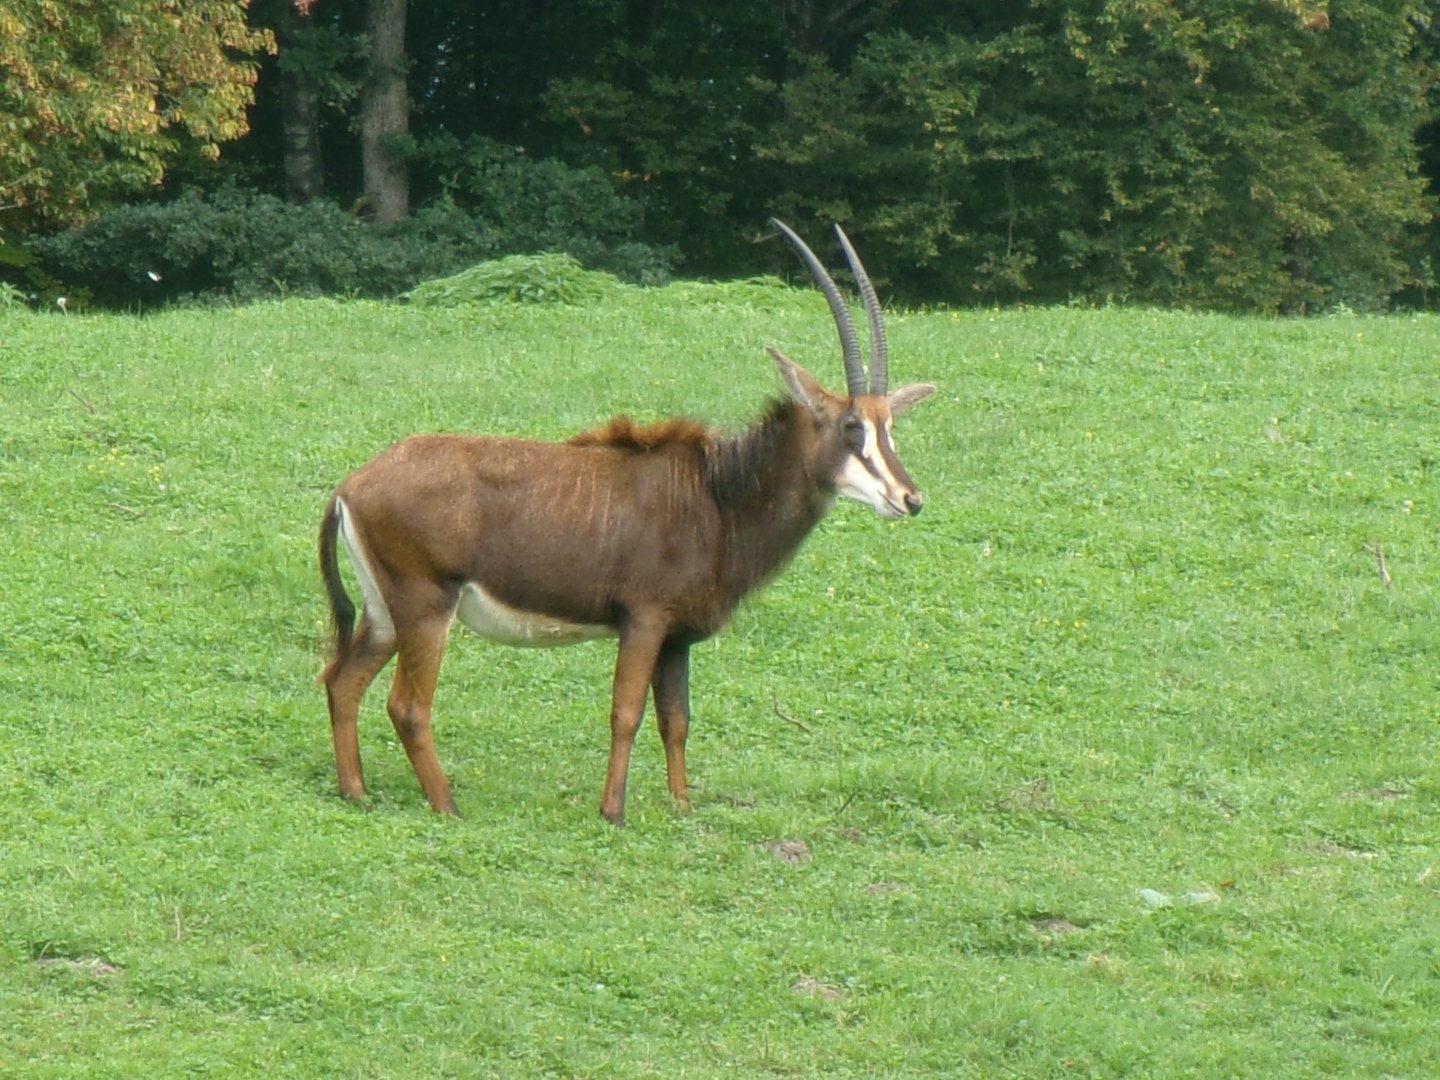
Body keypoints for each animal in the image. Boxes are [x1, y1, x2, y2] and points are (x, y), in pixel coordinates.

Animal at [317, 219, 936, 826]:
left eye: (889, 426)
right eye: (851, 427)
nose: (909, 499)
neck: (715, 497)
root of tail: (352, 485)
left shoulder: (677, 637)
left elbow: (676, 718)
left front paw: (681, 807)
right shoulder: (644, 620)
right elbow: (627, 711)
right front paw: (613, 811)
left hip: (384, 612)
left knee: (343, 680)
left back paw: (356, 792)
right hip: (426, 607)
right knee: (408, 705)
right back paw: (446, 806)